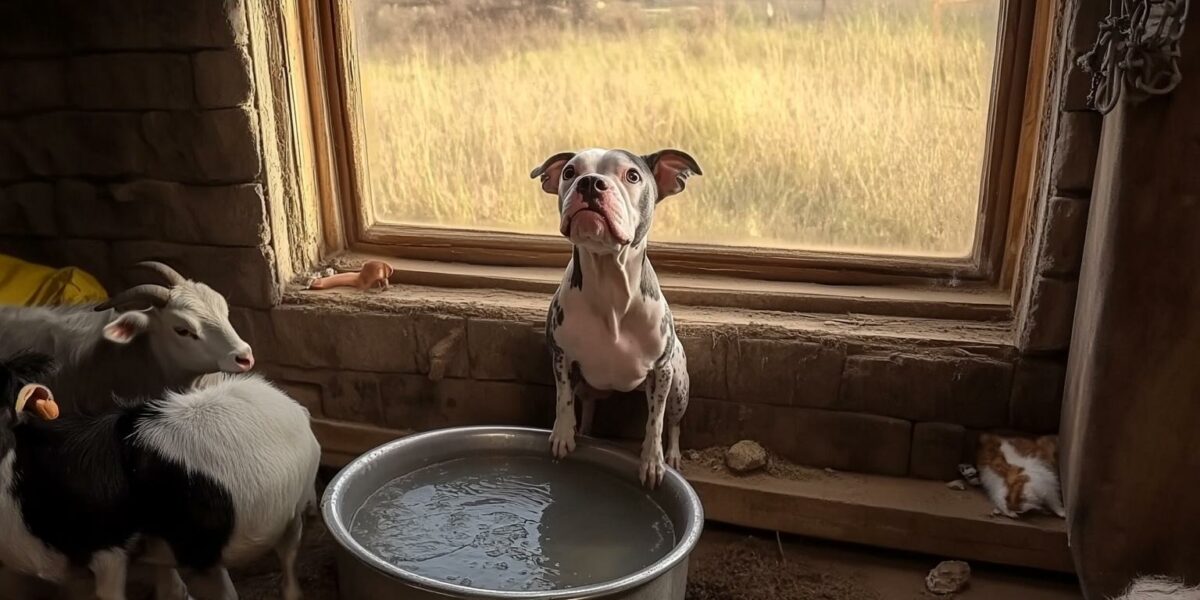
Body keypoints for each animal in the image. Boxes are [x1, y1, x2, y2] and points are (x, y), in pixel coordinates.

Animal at [530, 148, 700, 487]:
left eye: (632, 175)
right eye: (569, 172)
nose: (590, 182)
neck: (608, 280)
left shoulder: (661, 371)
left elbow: (655, 422)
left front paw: (652, 460)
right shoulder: (562, 356)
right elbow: (563, 398)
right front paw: (563, 434)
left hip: (679, 386)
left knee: (674, 423)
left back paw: (673, 455)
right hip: (588, 385)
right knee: (588, 405)